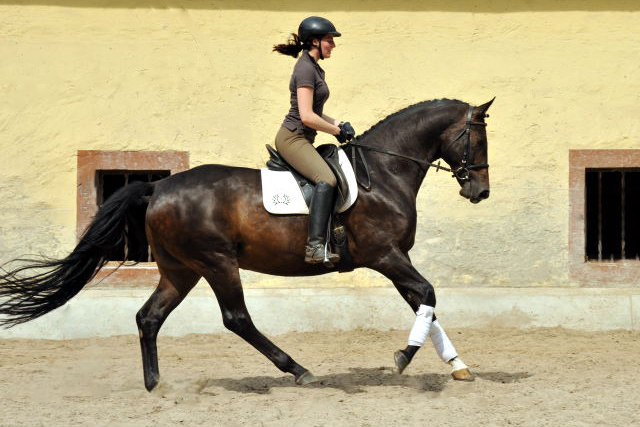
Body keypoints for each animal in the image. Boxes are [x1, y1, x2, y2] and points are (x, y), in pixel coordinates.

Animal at [0, 97, 496, 392]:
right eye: (477, 138)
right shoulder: (386, 255)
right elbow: (427, 295)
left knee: (148, 317)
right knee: (236, 318)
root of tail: (158, 188)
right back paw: (298, 370)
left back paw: (156, 384)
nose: (480, 192)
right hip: (217, 262)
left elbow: (424, 304)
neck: (384, 172)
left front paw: (457, 365)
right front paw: (402, 358)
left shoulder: (395, 259)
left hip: (180, 270)